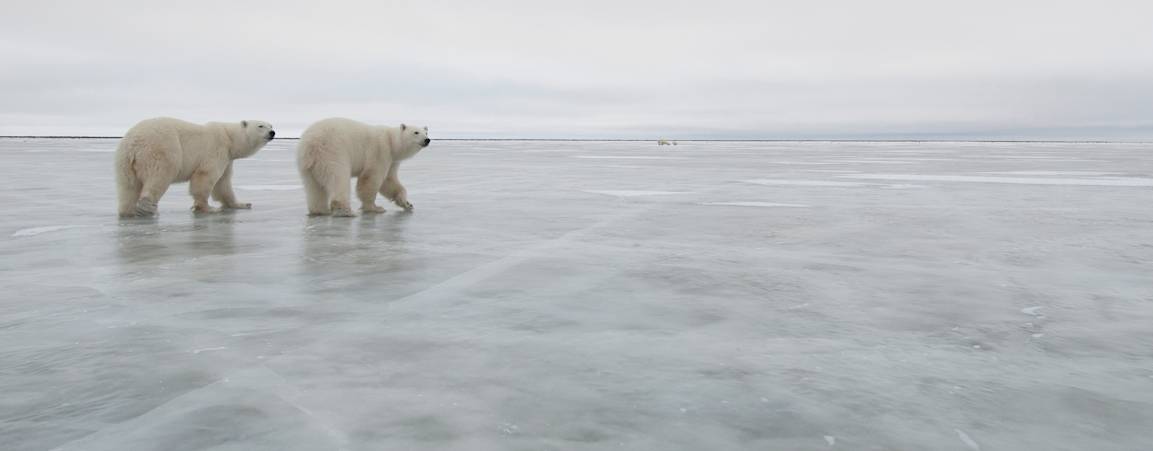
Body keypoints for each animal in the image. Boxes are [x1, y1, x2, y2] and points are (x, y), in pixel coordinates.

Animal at [115, 117, 275, 217]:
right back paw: (147, 208)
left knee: (128, 187)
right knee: (160, 176)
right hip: (162, 149)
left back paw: (128, 212)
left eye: (271, 125)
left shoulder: (227, 159)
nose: (272, 133)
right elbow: (206, 177)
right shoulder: (215, 150)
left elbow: (223, 184)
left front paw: (242, 204)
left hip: (124, 161)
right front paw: (208, 208)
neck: (229, 138)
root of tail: (134, 143)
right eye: (260, 125)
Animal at [295, 118, 431, 217]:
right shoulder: (380, 152)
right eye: (416, 132)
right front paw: (375, 208)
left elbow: (389, 181)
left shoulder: (392, 161)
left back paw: (320, 210)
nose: (427, 140)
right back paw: (345, 211)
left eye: (426, 132)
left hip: (307, 165)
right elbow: (371, 179)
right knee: (338, 178)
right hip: (332, 152)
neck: (391, 142)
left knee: (313, 187)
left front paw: (407, 204)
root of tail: (311, 144)